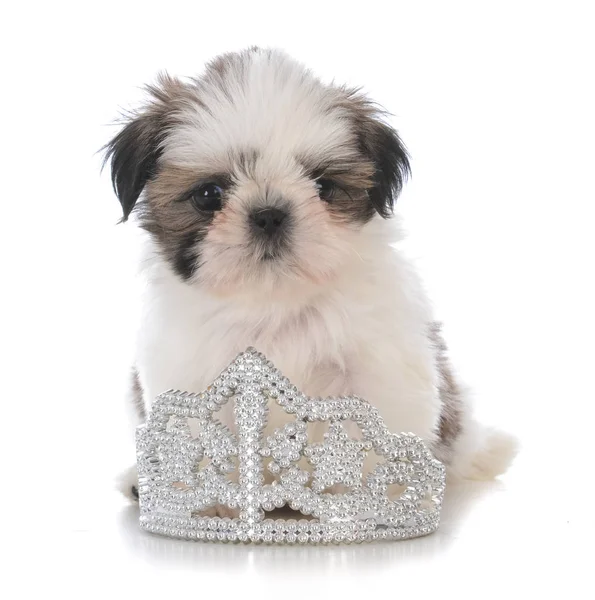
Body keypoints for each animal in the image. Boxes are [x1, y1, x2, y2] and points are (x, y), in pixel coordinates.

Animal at [105, 48, 520, 506]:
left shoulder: (378, 367)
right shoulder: (188, 369)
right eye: (209, 194)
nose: (269, 214)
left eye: (324, 186)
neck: (274, 302)